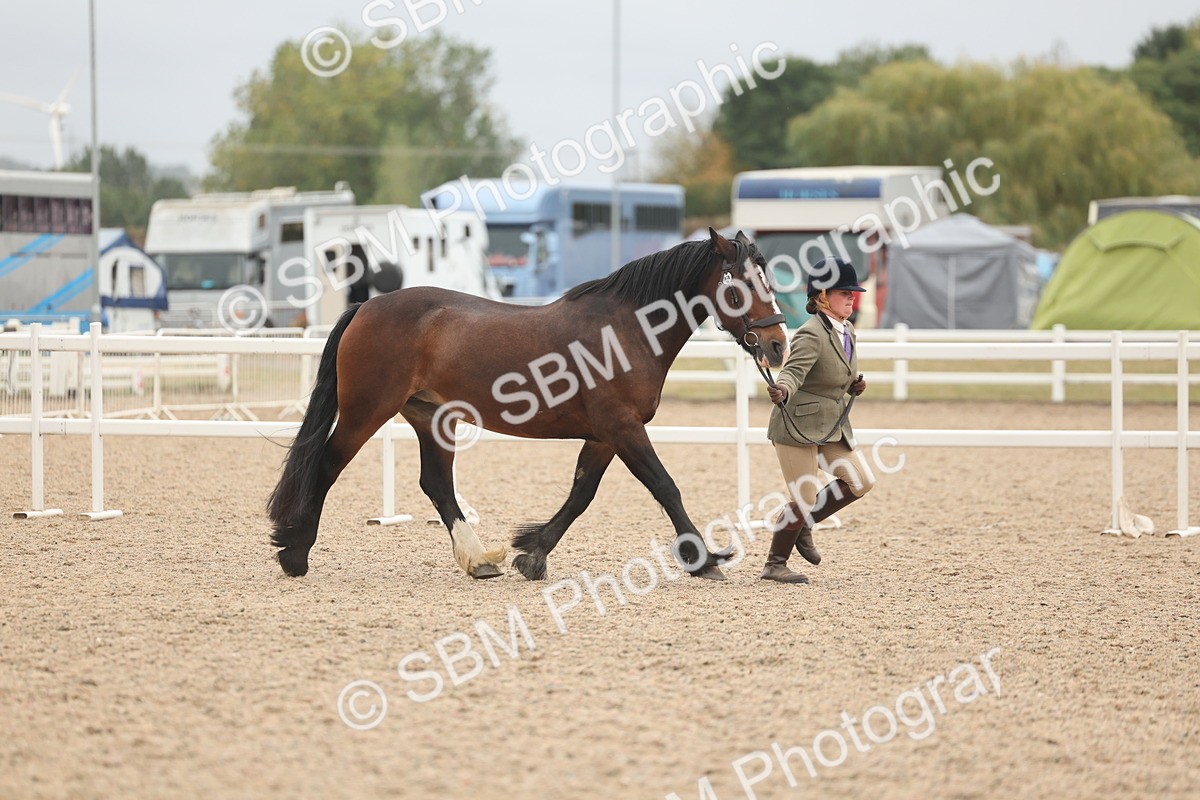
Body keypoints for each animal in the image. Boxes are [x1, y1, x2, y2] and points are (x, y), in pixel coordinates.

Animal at [266, 228, 791, 582]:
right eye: (742, 284)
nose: (777, 345)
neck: (625, 330)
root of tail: (366, 307)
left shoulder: (604, 436)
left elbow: (581, 495)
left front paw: (533, 551)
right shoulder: (622, 428)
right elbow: (666, 487)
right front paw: (704, 559)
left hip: (431, 417)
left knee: (437, 484)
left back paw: (479, 561)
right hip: (366, 411)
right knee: (327, 464)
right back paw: (295, 552)